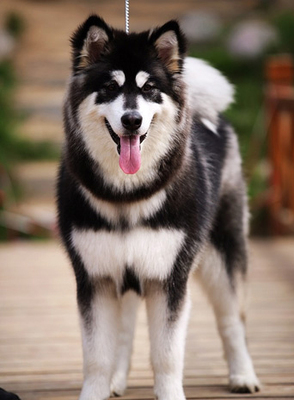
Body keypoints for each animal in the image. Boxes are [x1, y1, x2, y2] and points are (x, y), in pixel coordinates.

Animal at [56, 14, 260, 400]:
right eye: (110, 87)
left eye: (150, 88)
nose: (132, 120)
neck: (126, 194)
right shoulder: (96, 278)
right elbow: (97, 357)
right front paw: (101, 386)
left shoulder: (168, 279)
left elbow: (166, 356)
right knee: (124, 332)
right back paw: (117, 381)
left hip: (221, 256)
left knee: (233, 321)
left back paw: (243, 374)